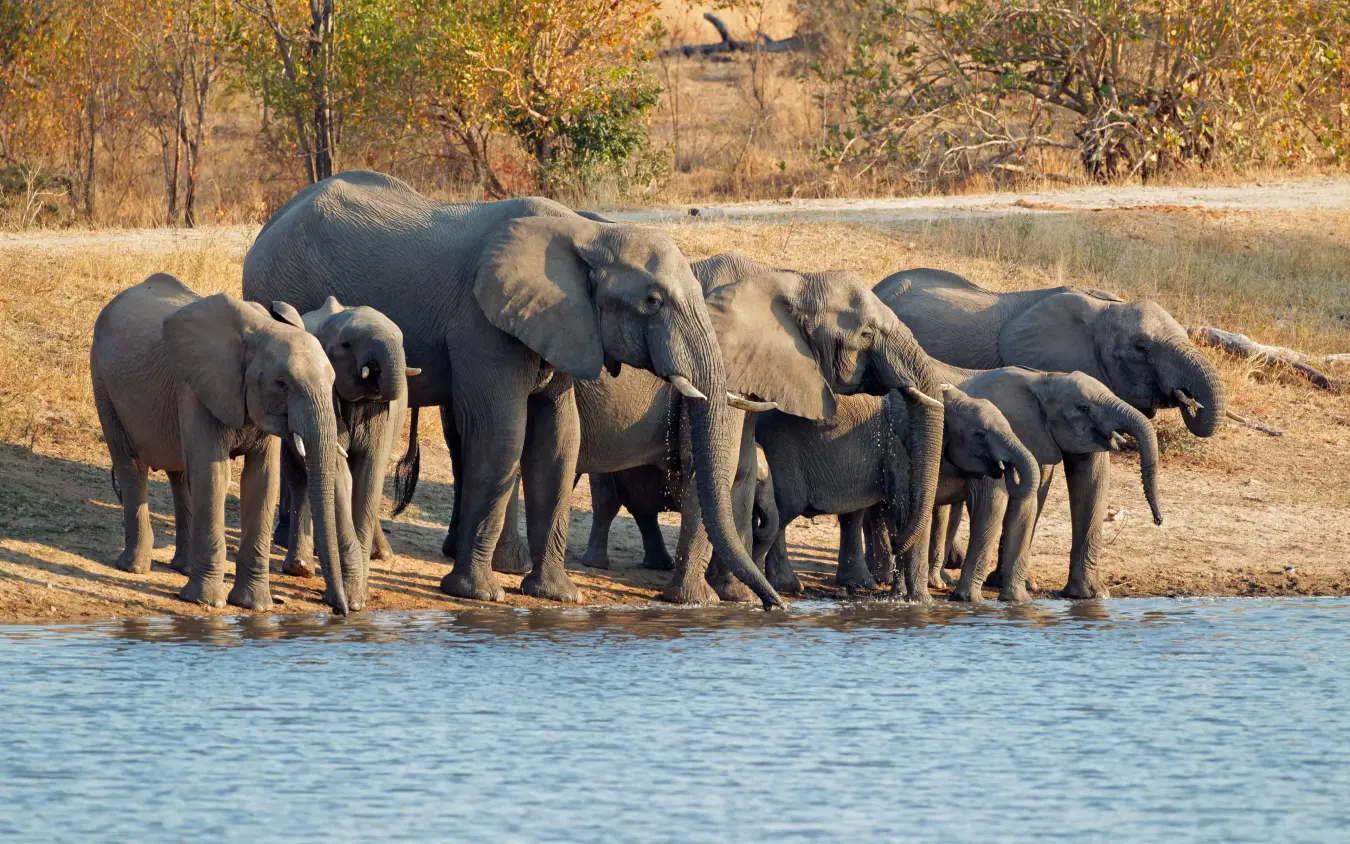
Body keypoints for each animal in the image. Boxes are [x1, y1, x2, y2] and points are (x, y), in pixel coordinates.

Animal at [89, 274, 360, 613]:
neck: (261, 330)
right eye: (282, 384)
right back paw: (134, 567)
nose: (340, 610)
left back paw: (183, 568)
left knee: (180, 473)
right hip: (102, 380)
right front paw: (206, 602)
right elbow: (214, 475)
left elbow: (262, 480)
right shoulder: (197, 389)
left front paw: (255, 607)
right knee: (130, 463)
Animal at [271, 297, 418, 583]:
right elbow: (337, 471)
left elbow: (369, 473)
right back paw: (300, 566)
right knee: (300, 477)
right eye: (347, 344)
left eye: (402, 341)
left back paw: (381, 554)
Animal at [434, 253, 948, 604]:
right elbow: (711, 471)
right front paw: (697, 602)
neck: (783, 278)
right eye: (866, 334)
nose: (779, 606)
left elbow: (739, 472)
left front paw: (737, 597)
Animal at [755, 385, 1032, 597]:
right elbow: (909, 509)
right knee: (782, 512)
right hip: (780, 451)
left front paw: (900, 595)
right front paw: (921, 602)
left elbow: (905, 513)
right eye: (979, 435)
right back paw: (785, 586)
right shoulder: (900, 448)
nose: (1004, 467)